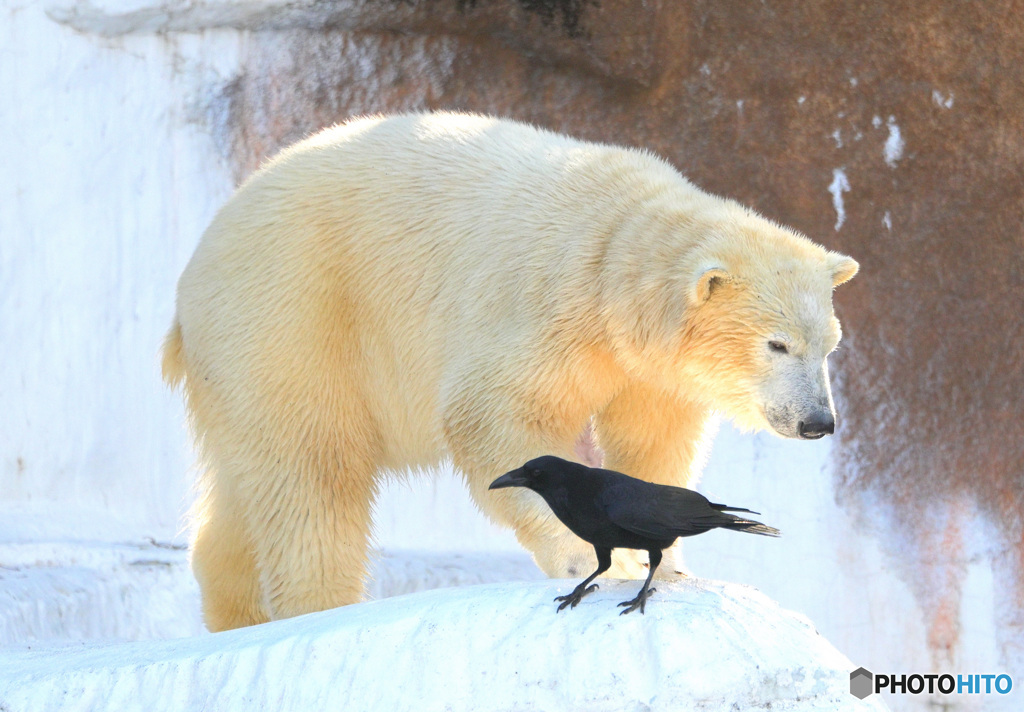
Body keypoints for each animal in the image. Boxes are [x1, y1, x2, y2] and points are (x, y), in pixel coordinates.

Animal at [163, 114, 860, 631]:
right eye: (777, 345)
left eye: (828, 345)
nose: (817, 422)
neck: (615, 250)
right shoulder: (549, 303)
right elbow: (496, 416)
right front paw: (585, 557)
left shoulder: (647, 371)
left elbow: (649, 446)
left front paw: (666, 556)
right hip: (295, 315)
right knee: (310, 473)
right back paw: (318, 607)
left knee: (246, 490)